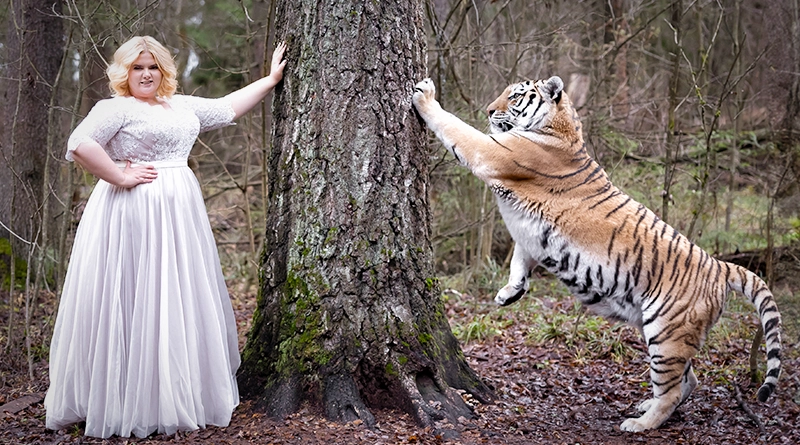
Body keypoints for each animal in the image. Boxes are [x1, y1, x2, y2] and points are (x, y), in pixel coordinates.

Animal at [412, 76, 780, 430]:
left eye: (514, 96)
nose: (489, 110)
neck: (562, 129)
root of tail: (720, 266)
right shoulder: (529, 235)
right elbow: (520, 260)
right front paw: (509, 293)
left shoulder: (494, 152)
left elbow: (457, 128)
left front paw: (425, 95)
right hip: (661, 332)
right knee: (690, 380)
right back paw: (647, 408)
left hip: (666, 334)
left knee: (673, 388)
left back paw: (640, 423)